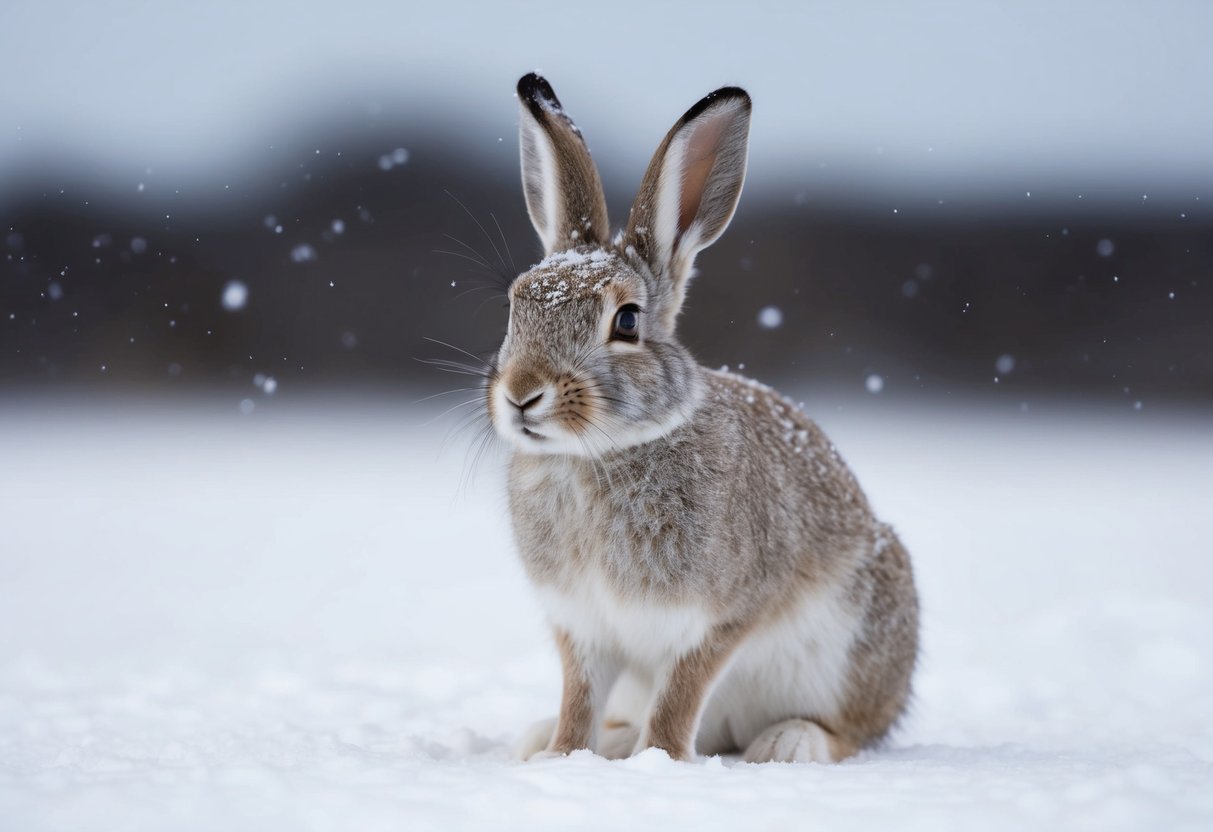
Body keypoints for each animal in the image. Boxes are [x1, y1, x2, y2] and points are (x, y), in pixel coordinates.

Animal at [488, 73, 919, 764]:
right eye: (514, 307)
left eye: (627, 320)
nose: (523, 394)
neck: (596, 456)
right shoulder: (582, 627)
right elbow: (579, 696)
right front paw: (560, 755)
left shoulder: (723, 617)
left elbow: (681, 694)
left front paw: (659, 762)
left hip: (859, 641)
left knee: (853, 730)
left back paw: (788, 743)